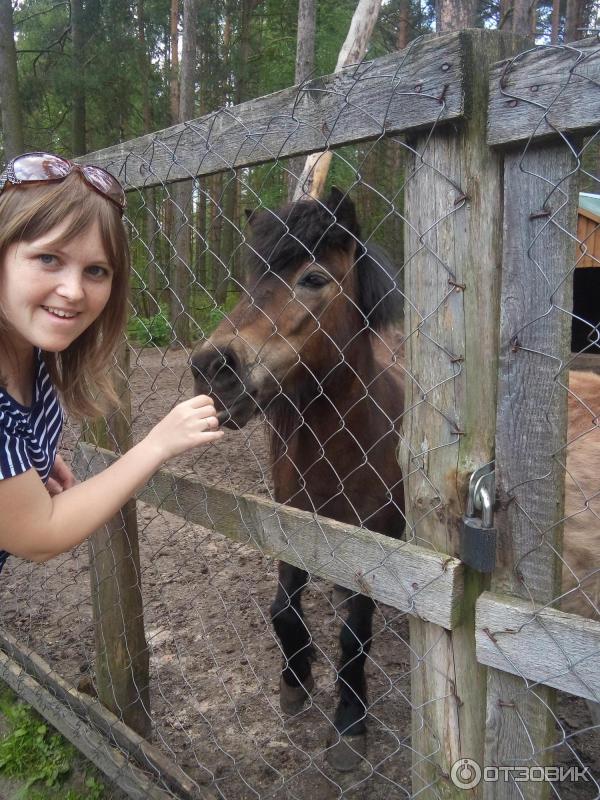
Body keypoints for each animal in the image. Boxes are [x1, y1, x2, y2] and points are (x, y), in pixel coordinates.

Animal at [191, 188, 408, 768]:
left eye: (313, 278)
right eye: (251, 278)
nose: (211, 368)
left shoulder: (372, 538)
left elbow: (355, 633)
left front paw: (350, 721)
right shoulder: (292, 526)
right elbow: (283, 609)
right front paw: (296, 677)